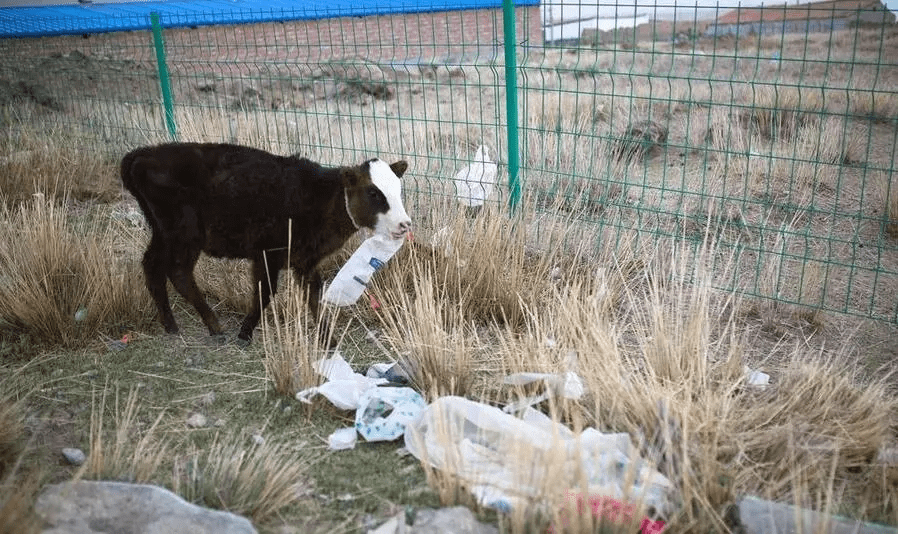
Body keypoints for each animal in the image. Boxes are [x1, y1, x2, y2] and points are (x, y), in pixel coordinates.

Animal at [121, 143, 412, 344]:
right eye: (373, 192)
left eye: (398, 190)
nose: (404, 224)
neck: (322, 198)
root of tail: (143, 155)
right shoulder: (267, 253)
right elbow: (265, 293)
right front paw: (245, 333)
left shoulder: (305, 261)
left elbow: (314, 297)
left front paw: (327, 339)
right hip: (185, 234)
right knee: (178, 272)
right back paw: (214, 326)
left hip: (163, 233)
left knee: (152, 265)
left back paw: (170, 324)